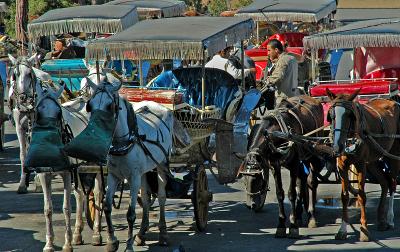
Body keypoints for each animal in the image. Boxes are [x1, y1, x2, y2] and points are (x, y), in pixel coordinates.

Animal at [67, 79, 173, 252]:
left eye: (110, 106)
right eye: (89, 105)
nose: (95, 131)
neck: (123, 143)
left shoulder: (133, 177)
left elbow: (130, 214)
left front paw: (128, 246)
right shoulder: (113, 175)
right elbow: (107, 206)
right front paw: (112, 241)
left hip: (162, 164)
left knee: (162, 197)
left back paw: (163, 234)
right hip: (144, 171)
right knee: (145, 198)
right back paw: (141, 234)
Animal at [241, 95, 324, 238]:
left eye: (258, 179)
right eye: (244, 181)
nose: (252, 205)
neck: (278, 135)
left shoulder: (295, 162)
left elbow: (291, 193)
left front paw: (293, 226)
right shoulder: (275, 165)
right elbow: (280, 193)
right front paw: (281, 225)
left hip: (312, 152)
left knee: (311, 181)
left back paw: (311, 216)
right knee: (302, 179)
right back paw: (298, 214)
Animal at [326, 89, 398, 242]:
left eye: (349, 115)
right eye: (332, 115)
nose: (337, 146)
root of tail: (390, 100)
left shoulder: (360, 164)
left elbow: (362, 195)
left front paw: (364, 231)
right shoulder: (342, 165)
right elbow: (344, 196)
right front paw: (342, 229)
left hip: (393, 154)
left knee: (393, 183)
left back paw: (389, 219)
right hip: (372, 161)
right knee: (384, 182)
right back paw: (381, 219)